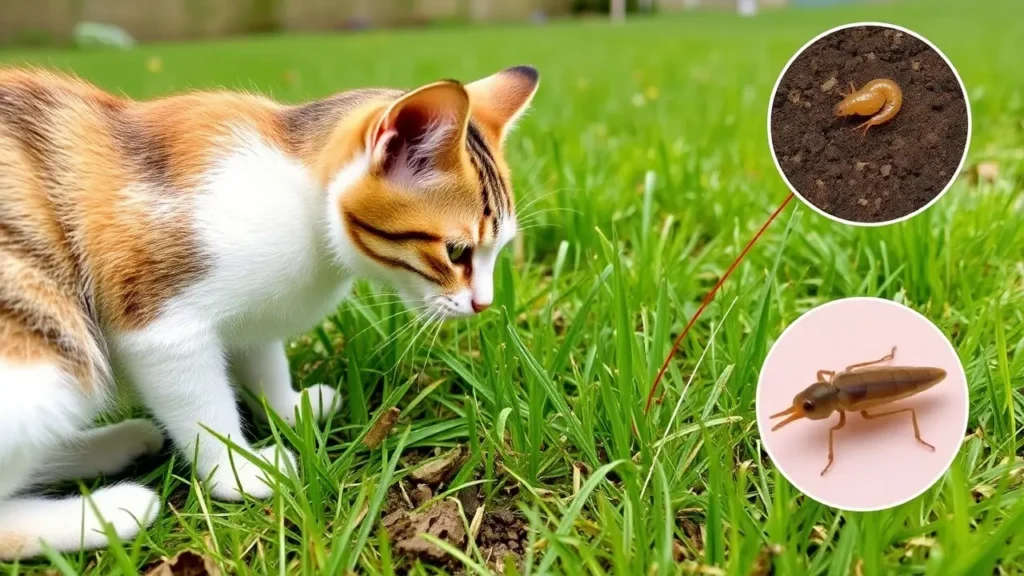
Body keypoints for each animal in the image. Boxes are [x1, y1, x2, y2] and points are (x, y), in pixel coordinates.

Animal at [0, 62, 540, 557]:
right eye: (456, 252)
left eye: (499, 250)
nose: (483, 303)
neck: (302, 199)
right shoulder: (159, 323)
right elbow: (203, 407)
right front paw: (238, 472)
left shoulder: (255, 312)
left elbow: (263, 357)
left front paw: (289, 408)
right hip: (46, 343)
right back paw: (110, 512)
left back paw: (117, 445)